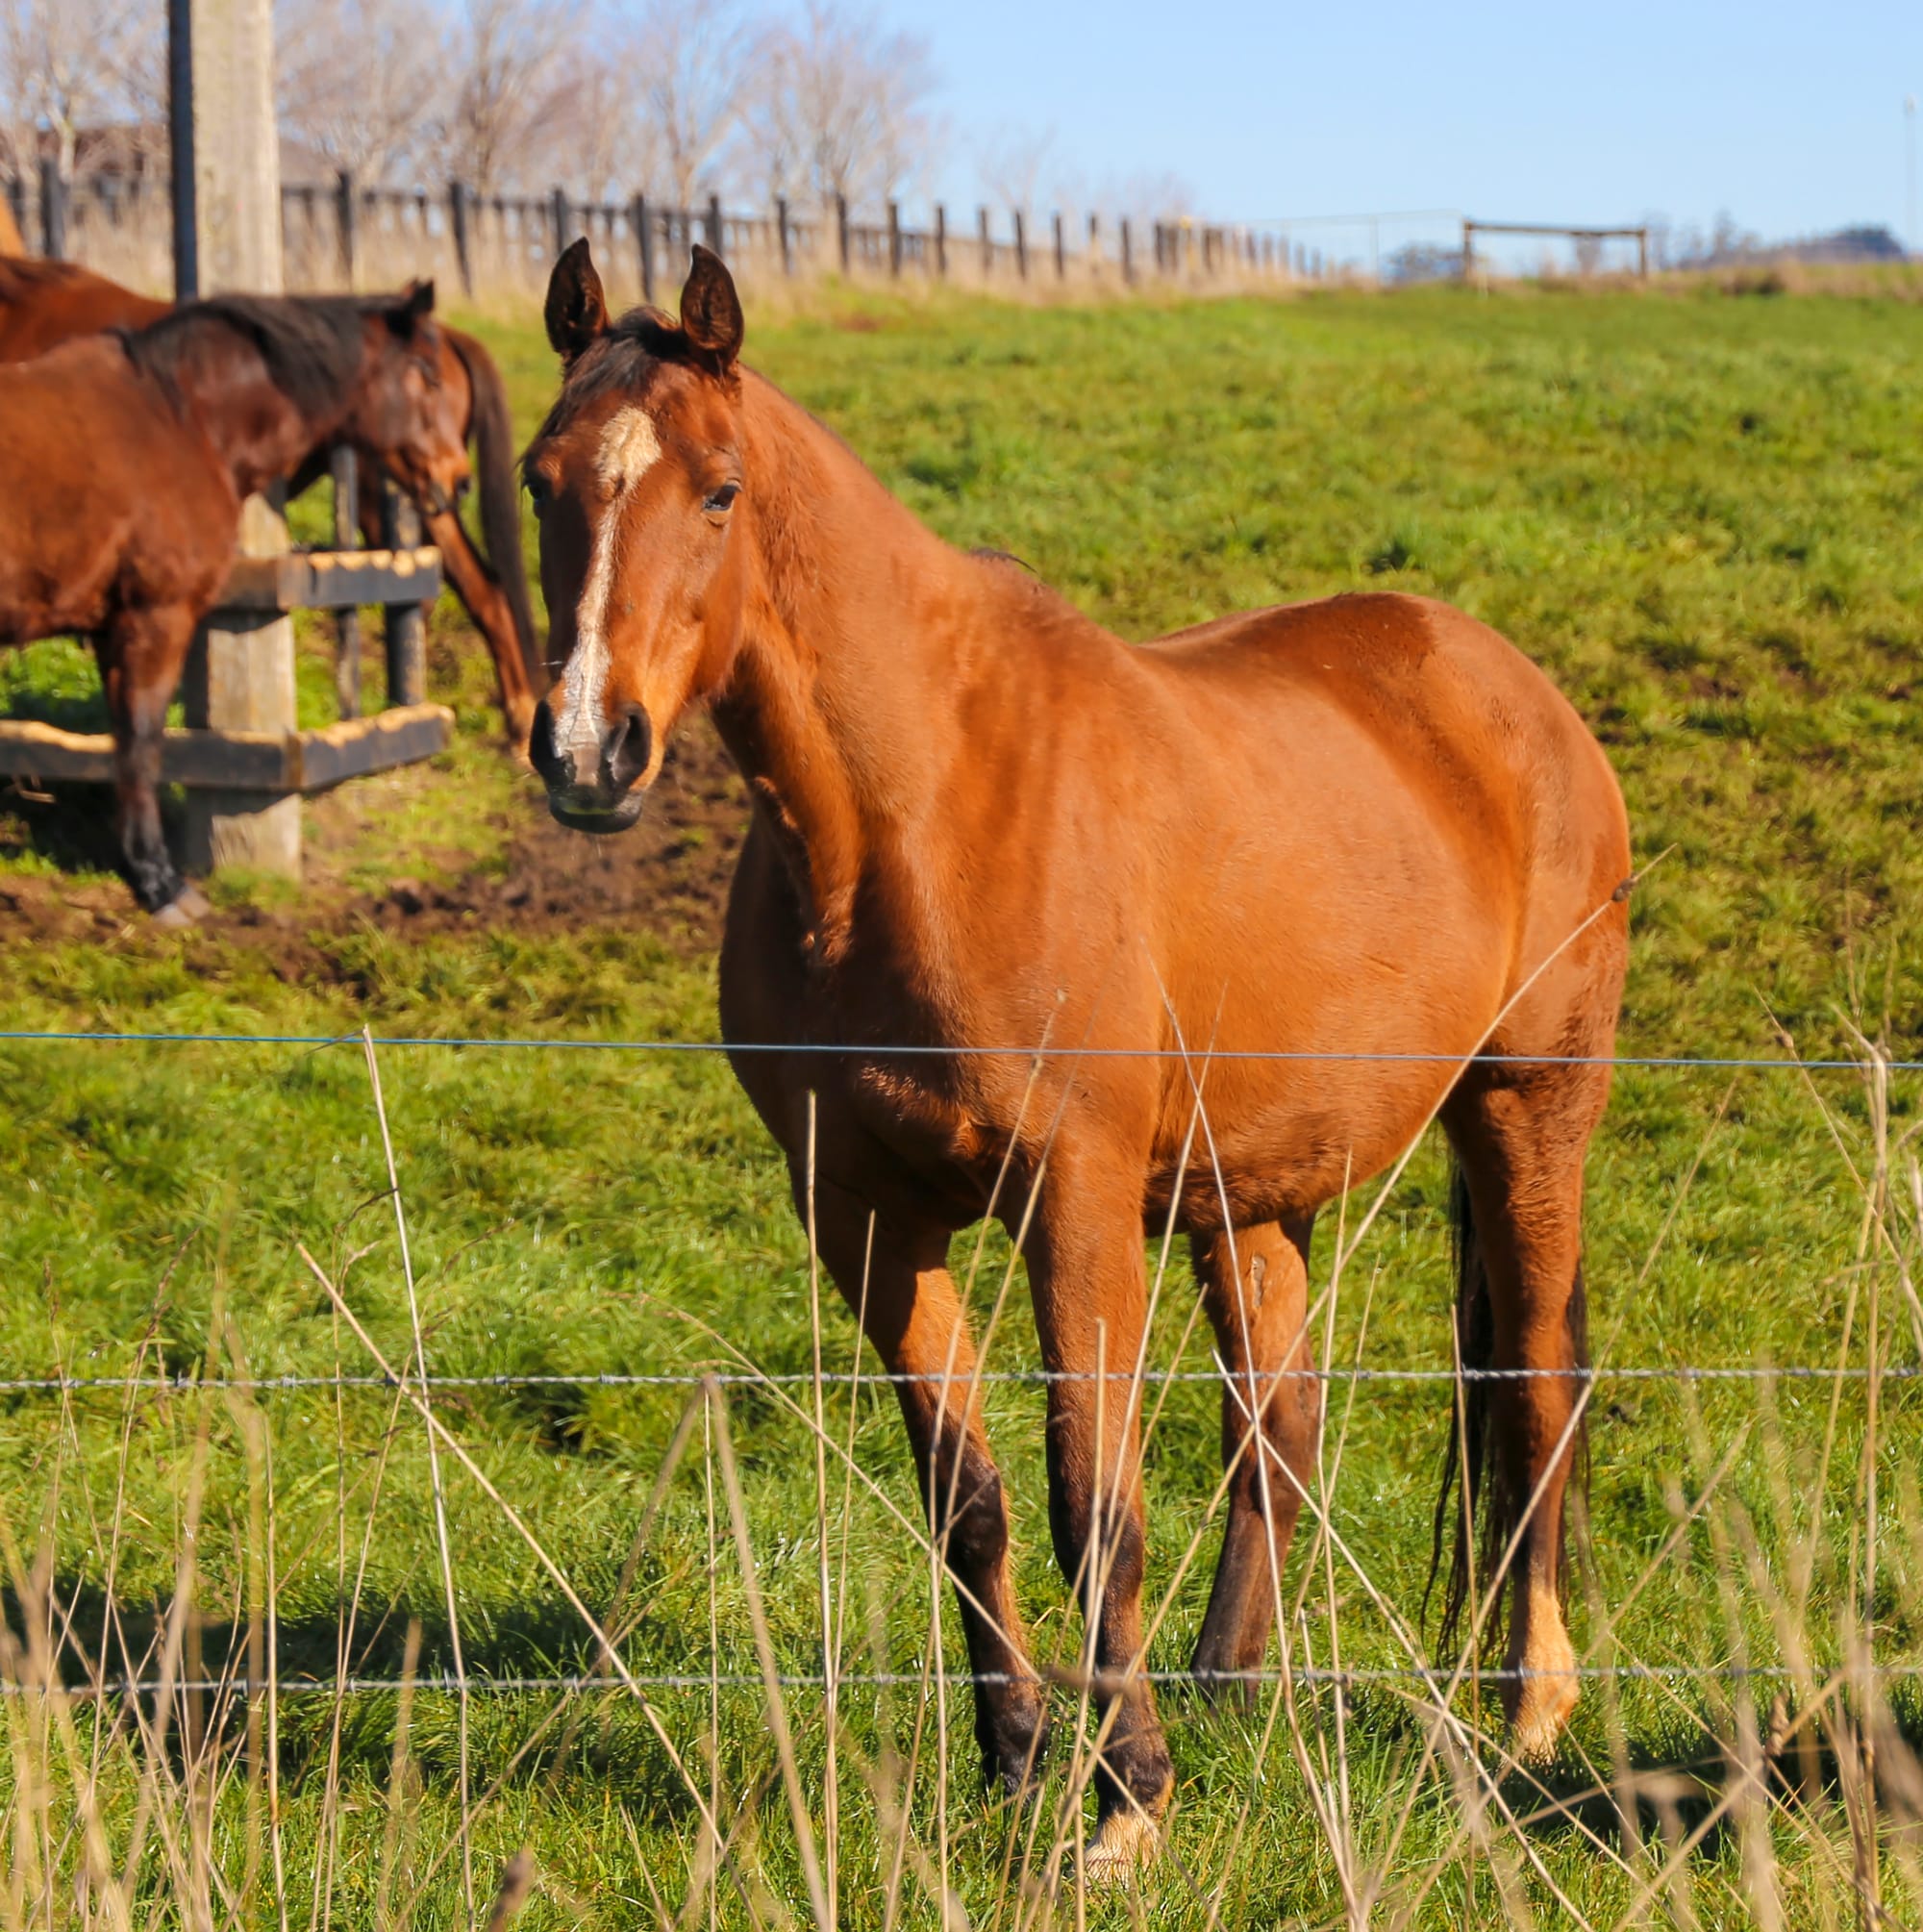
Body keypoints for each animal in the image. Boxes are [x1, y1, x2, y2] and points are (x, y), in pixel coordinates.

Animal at [0, 284, 462, 920]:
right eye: (427, 373)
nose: (458, 479)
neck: (180, 420)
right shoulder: (156, 617)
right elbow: (141, 740)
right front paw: (159, 883)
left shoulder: (112, 627)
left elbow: (125, 738)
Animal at [524, 240, 1631, 1878]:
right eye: (543, 481)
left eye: (717, 490)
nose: (589, 750)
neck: (915, 809)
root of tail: (1515, 692)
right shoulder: (864, 1213)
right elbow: (966, 1497)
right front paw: (1016, 1761)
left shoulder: (1078, 1202)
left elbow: (1089, 1500)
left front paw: (1127, 1803)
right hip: (1251, 1189)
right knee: (1277, 1424)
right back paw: (1234, 1687)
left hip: (1528, 1111)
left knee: (1533, 1391)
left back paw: (1530, 1713)